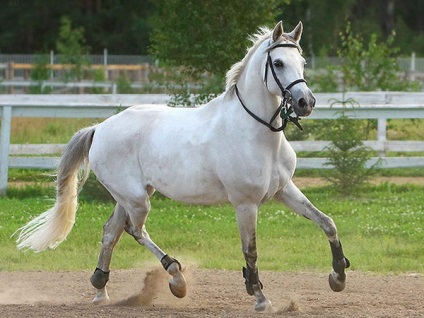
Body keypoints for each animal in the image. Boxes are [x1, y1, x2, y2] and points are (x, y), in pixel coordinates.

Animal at [15, 21, 348, 312]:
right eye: (277, 63)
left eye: (302, 62)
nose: (306, 102)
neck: (257, 134)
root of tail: (100, 128)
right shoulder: (245, 204)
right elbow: (250, 251)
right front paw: (260, 298)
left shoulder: (284, 191)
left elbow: (327, 222)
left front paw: (338, 277)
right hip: (137, 199)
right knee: (134, 230)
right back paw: (176, 277)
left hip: (130, 196)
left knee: (111, 231)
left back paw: (101, 290)